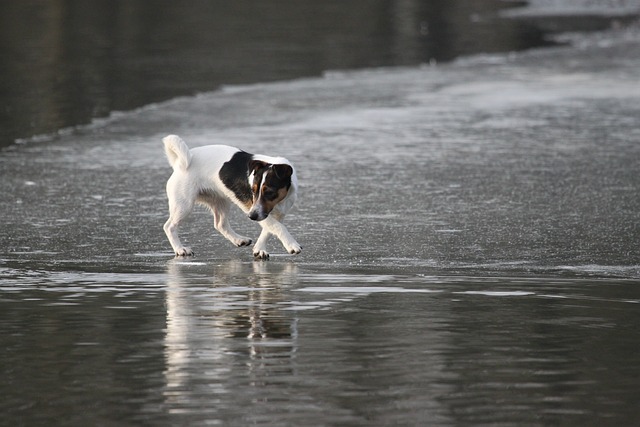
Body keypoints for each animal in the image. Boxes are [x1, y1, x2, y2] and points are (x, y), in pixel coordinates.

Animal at [160, 135, 300, 260]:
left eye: (269, 191)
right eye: (252, 190)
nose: (251, 217)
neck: (279, 201)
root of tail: (179, 164)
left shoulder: (273, 214)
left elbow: (268, 230)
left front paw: (259, 249)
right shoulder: (254, 209)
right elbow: (278, 227)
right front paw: (292, 245)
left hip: (220, 201)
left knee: (220, 224)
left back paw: (239, 240)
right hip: (184, 205)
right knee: (169, 227)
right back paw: (180, 249)